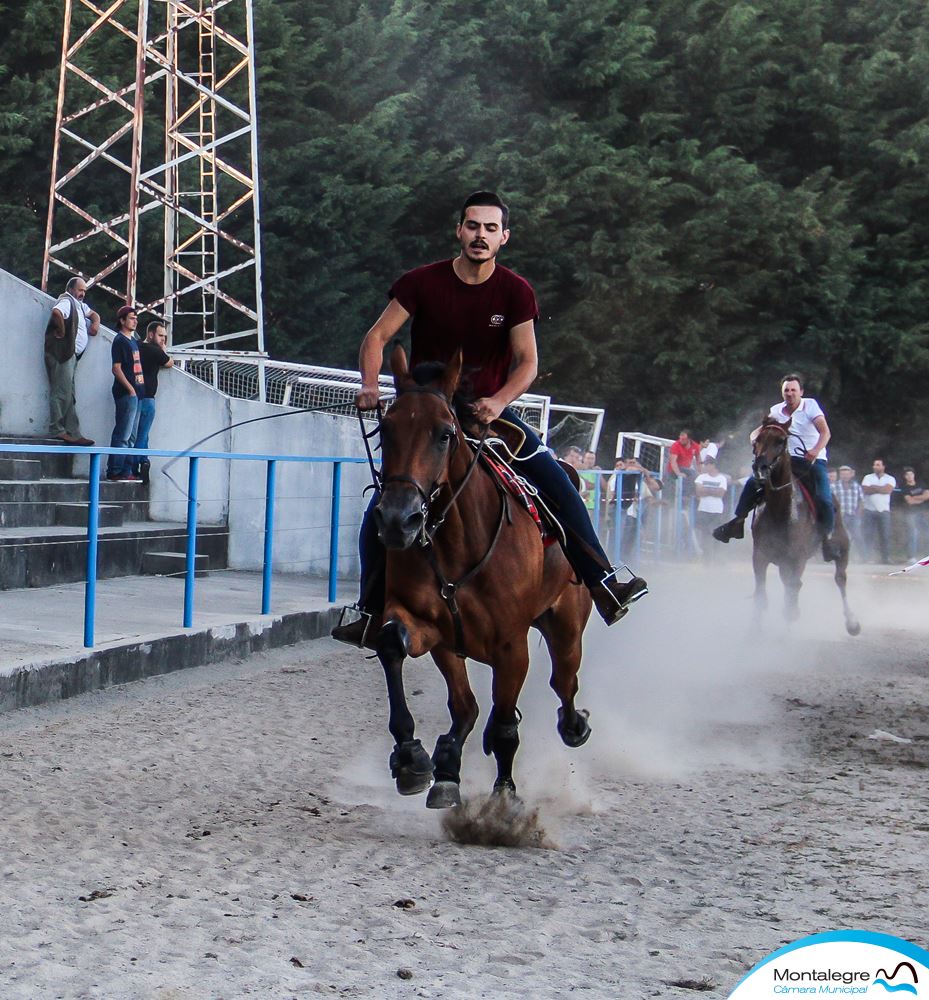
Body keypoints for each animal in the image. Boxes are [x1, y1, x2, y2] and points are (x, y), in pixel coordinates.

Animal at [368, 348, 592, 808]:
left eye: (444, 434)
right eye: (386, 429)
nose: (398, 520)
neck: (459, 544)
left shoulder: (511, 647)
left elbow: (505, 726)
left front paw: (503, 800)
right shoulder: (429, 628)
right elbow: (394, 646)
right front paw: (414, 758)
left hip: (567, 627)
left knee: (564, 682)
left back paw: (574, 724)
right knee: (468, 708)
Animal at [752, 418, 860, 636]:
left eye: (781, 440)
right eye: (758, 439)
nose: (760, 468)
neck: (780, 511)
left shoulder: (797, 558)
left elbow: (792, 592)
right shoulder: (760, 555)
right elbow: (761, 594)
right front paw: (755, 632)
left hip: (841, 547)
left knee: (840, 578)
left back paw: (852, 623)